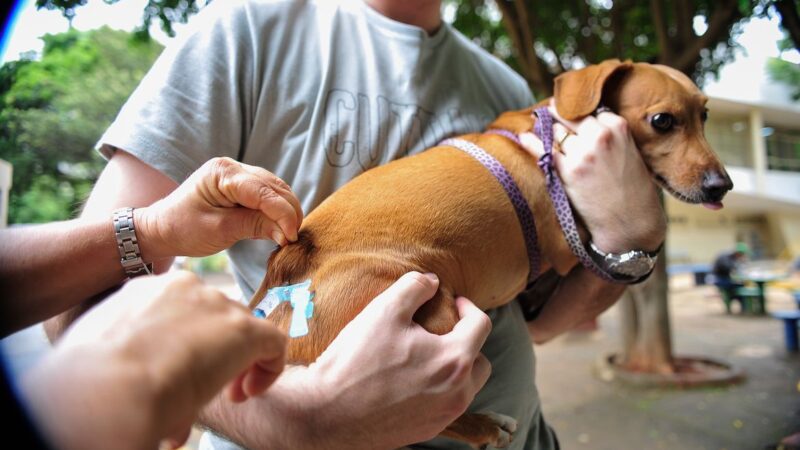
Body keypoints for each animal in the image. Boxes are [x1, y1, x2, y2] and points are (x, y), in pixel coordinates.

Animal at [248, 59, 732, 446]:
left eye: (705, 115)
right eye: (663, 120)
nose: (721, 185)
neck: (549, 135)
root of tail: (290, 265)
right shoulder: (568, 246)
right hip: (434, 313)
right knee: (416, 417)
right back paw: (483, 426)